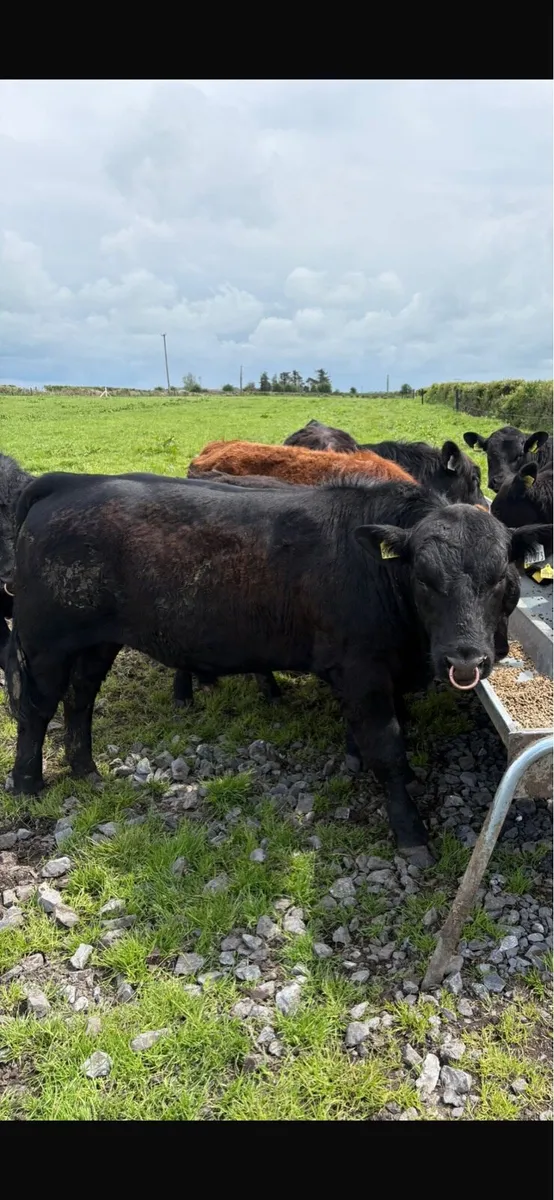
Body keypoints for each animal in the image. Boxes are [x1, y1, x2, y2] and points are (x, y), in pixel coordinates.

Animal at [8, 469, 550, 866]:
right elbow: (388, 748)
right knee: (36, 710)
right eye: (423, 576)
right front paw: (411, 832)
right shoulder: (361, 671)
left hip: (97, 642)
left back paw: (86, 770)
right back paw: (28, 783)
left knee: (80, 699)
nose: (465, 658)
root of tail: (72, 481)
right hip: (44, 643)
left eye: (500, 577)